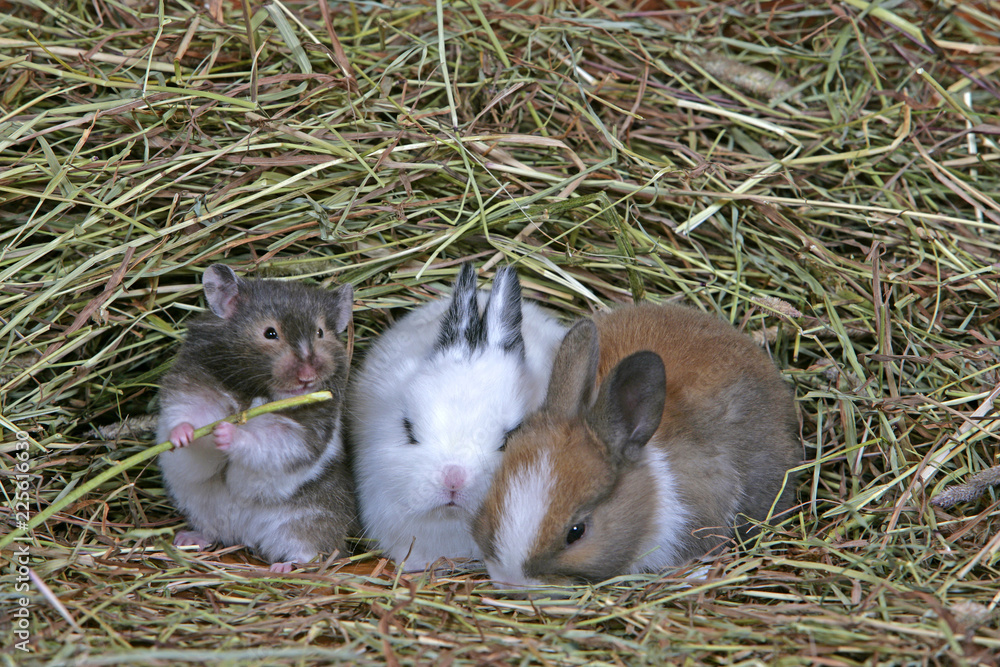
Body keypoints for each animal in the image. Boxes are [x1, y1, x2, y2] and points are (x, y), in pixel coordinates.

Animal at [156, 264, 356, 572]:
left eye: (320, 332)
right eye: (270, 333)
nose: (307, 377)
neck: (257, 393)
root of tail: (244, 532)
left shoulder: (301, 434)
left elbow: (266, 439)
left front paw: (224, 432)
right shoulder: (192, 390)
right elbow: (188, 415)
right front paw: (183, 436)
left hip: (309, 519)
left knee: (308, 551)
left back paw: (282, 568)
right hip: (200, 508)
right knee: (213, 532)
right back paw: (185, 539)